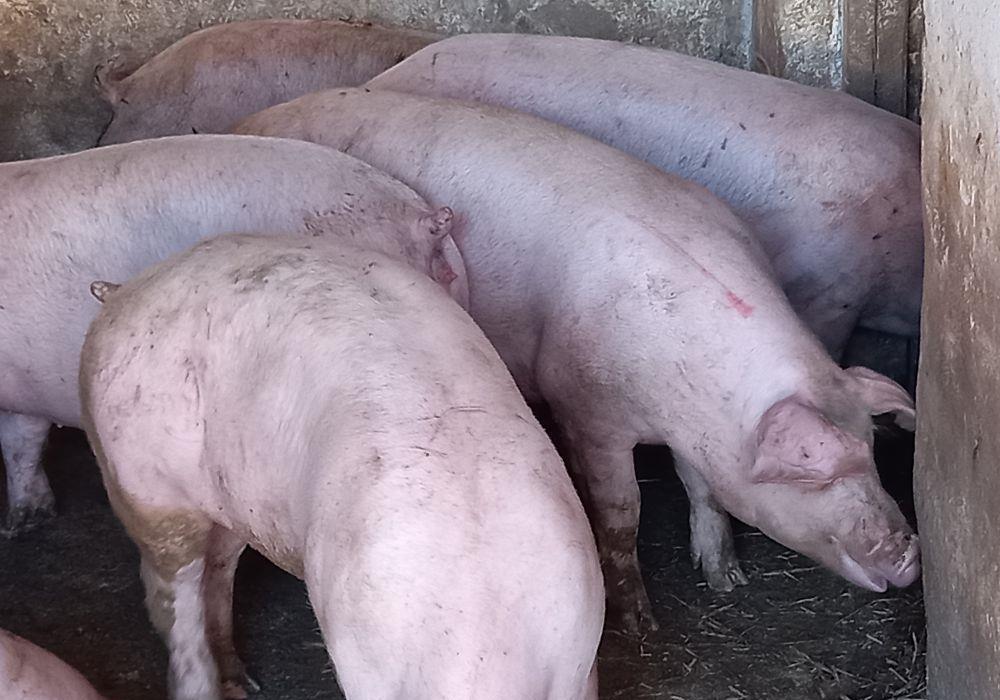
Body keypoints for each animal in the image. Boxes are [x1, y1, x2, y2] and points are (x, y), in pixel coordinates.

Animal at [80, 234, 604, 700]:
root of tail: (124, 291)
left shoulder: (581, 668)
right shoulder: (363, 663)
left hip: (232, 498)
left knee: (218, 570)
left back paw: (241, 682)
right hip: (144, 482)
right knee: (174, 594)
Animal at [235, 89, 920, 633]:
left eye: (871, 449)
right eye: (810, 466)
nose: (909, 553)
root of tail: (265, 115)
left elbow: (704, 490)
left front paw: (727, 580)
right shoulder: (587, 409)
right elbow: (620, 515)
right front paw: (641, 624)